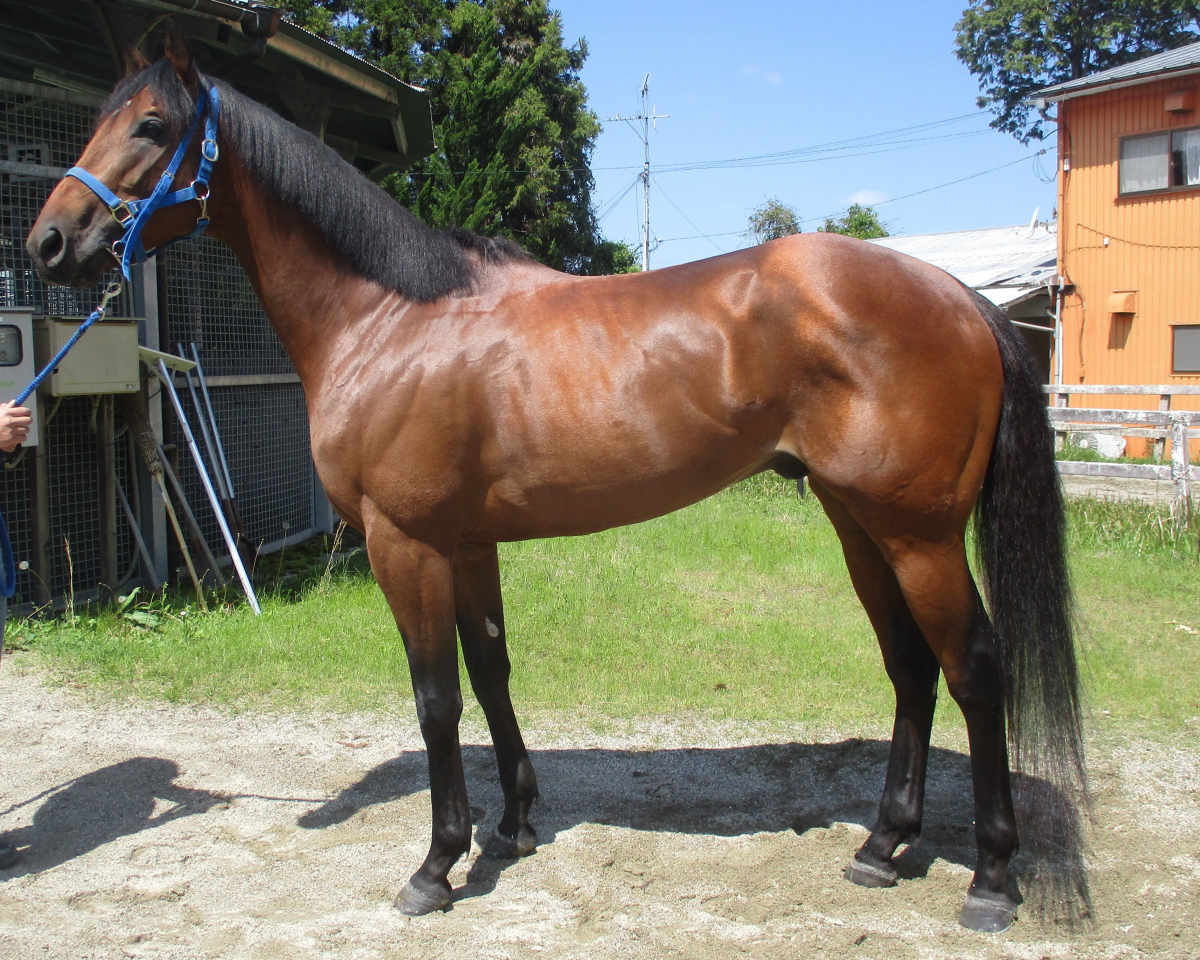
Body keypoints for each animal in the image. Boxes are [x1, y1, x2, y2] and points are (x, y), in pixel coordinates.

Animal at [26, 30, 1085, 932]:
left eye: (150, 126)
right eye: (99, 119)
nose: (47, 244)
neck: (390, 319)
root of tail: (960, 298)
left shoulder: (405, 544)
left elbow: (436, 699)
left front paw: (436, 864)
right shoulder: (466, 542)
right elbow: (491, 671)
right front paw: (513, 827)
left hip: (918, 534)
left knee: (975, 669)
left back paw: (992, 880)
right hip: (859, 522)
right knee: (911, 667)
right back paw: (881, 846)